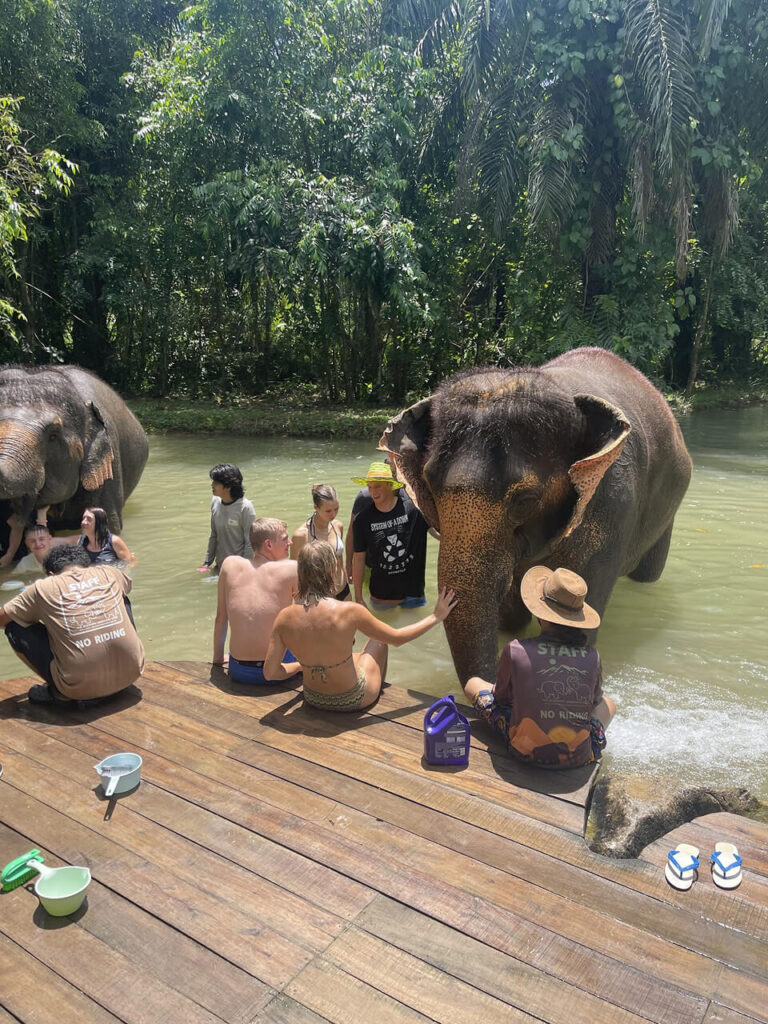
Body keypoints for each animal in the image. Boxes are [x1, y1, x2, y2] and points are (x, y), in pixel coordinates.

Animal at [380, 347, 692, 684]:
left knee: (647, 575)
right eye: (430, 487)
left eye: (525, 501)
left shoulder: (611, 507)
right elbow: (510, 618)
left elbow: (578, 630)